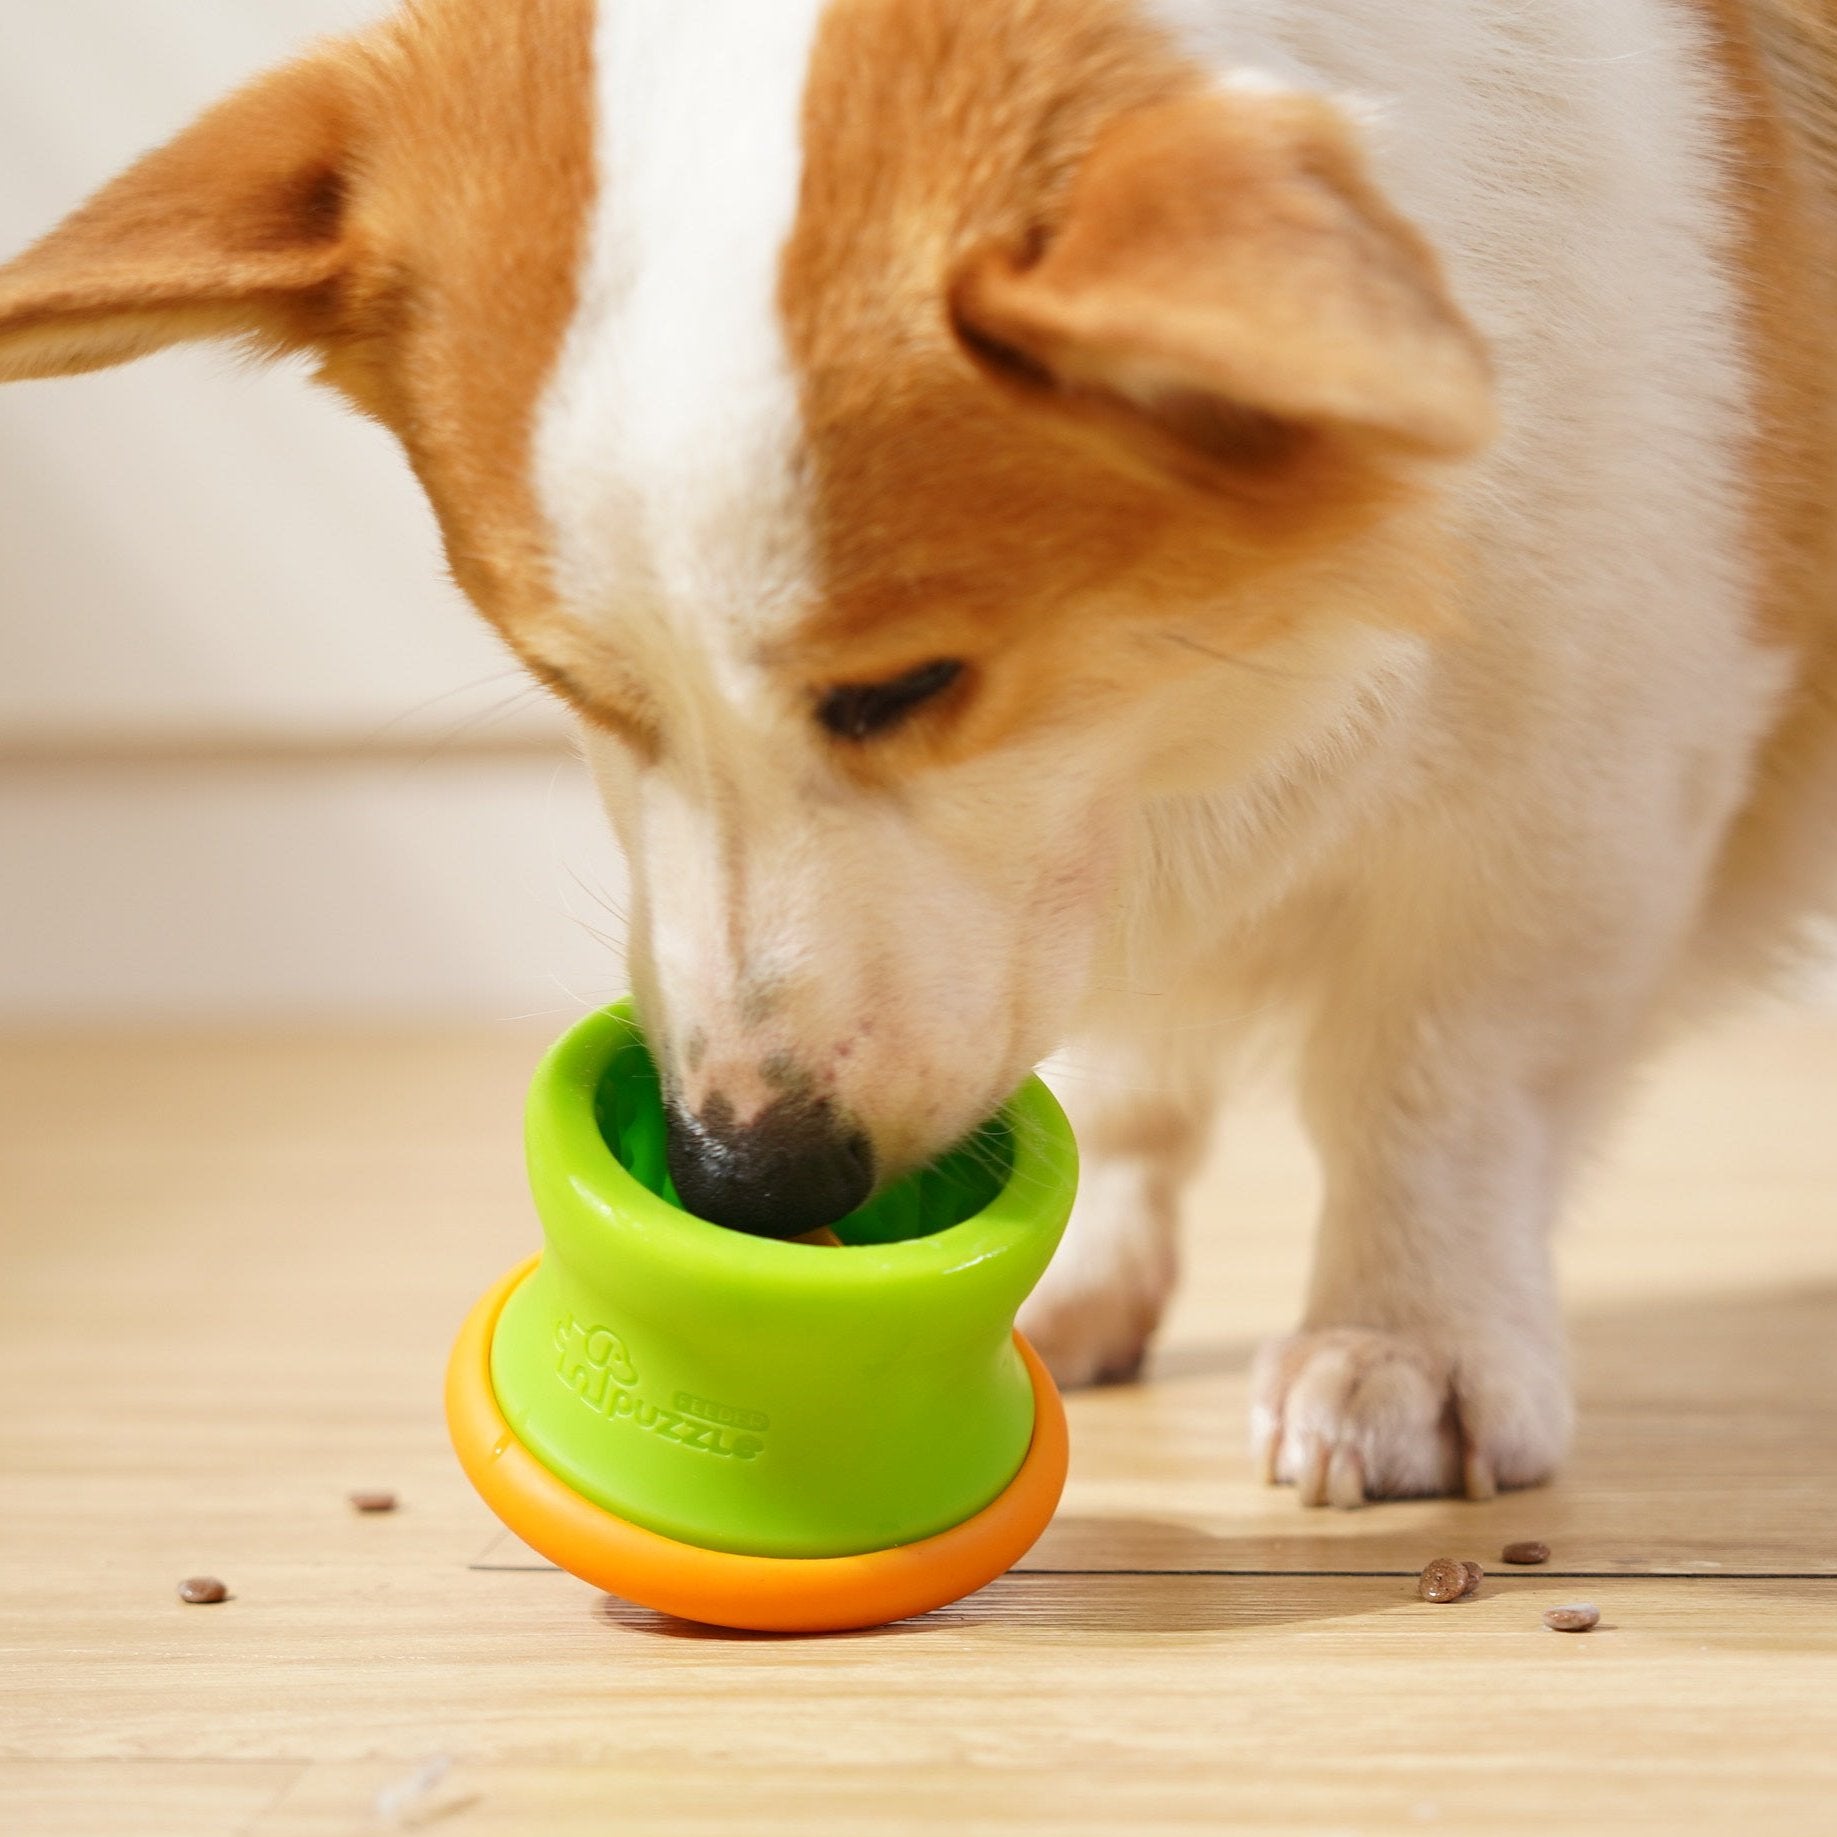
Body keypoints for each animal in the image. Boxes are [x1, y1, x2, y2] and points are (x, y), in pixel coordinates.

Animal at [3, 0, 1837, 1506]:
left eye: (908, 683)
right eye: (571, 681)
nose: (745, 1176)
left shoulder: (1588, 769)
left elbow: (1437, 1082)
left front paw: (1405, 1344)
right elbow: (1112, 1053)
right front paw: (1083, 1255)